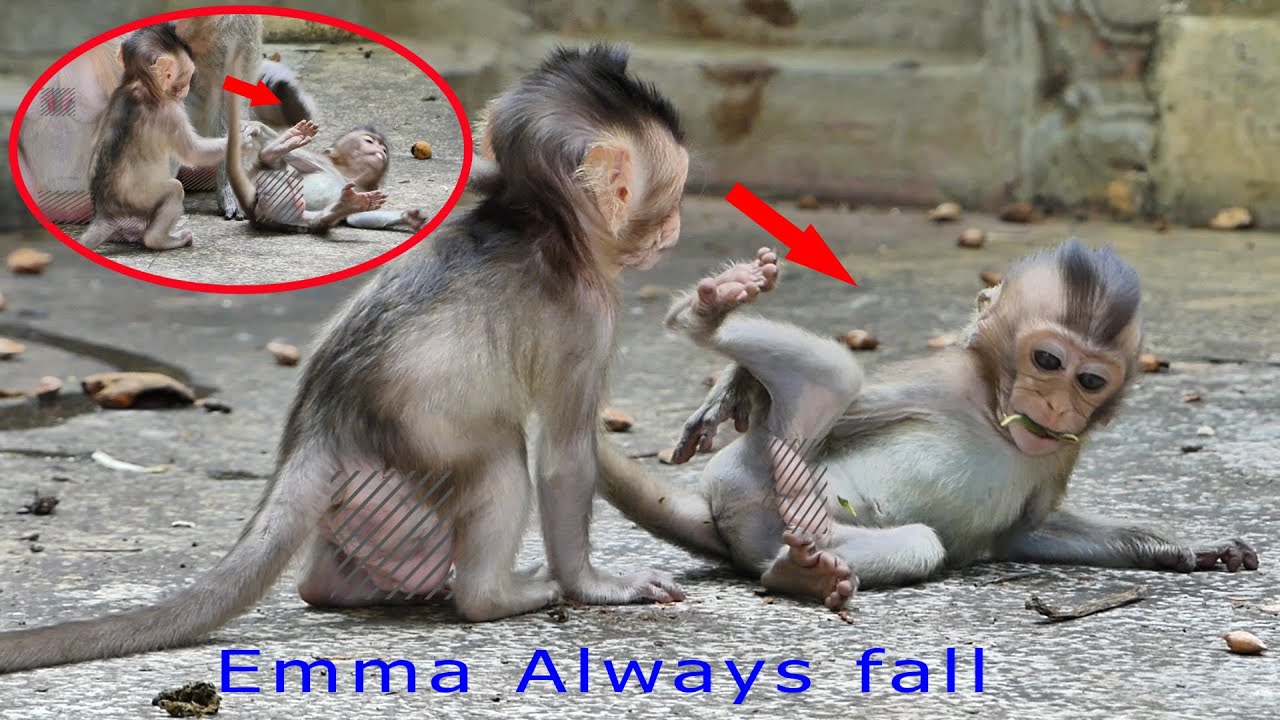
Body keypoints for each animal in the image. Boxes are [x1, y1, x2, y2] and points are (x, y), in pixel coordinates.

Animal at [76, 23, 228, 251]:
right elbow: (193, 153)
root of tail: (107, 215)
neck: (141, 84)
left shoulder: (114, 95)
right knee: (174, 190)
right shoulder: (170, 112)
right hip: (142, 203)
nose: (186, 88)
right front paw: (246, 137)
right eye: (187, 75)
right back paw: (160, 239)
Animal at [599, 239, 1259, 610]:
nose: (1056, 407)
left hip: (776, 527)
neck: (994, 413)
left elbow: (1028, 531)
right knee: (833, 379)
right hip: (740, 470)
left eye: (1090, 380)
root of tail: (719, 518)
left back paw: (803, 572)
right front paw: (735, 388)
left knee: (916, 544)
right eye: (1048, 361)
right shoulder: (941, 381)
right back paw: (709, 314)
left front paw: (1193, 547)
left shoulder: (1059, 452)